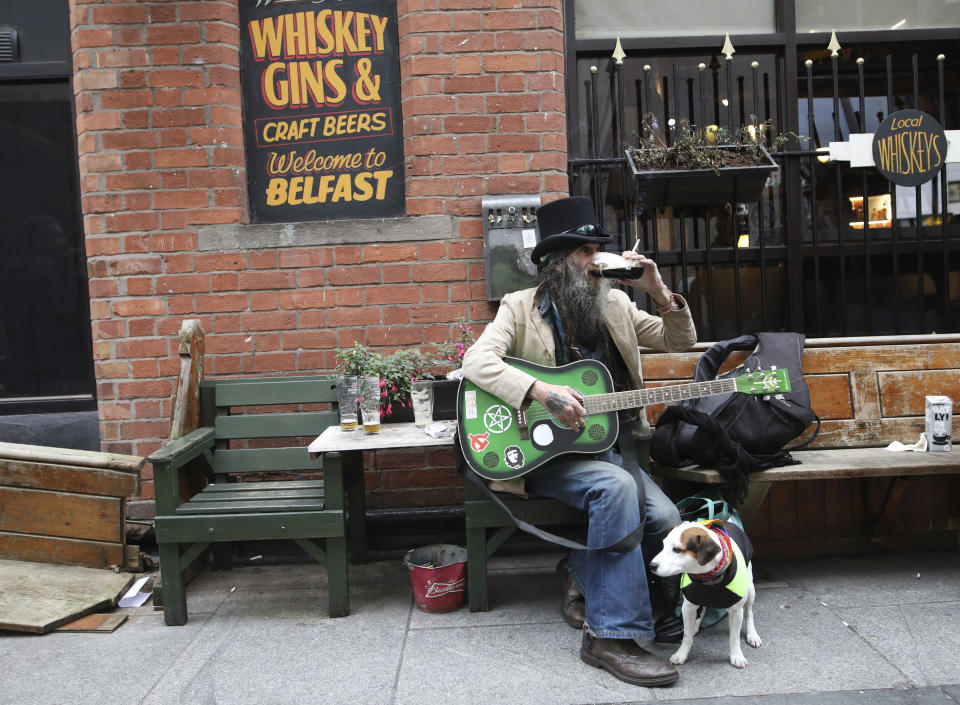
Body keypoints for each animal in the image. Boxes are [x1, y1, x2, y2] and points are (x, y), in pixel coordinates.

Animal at [648, 520, 760, 668]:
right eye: (663, 545)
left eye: (676, 549)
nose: (652, 565)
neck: (708, 577)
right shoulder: (688, 606)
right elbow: (687, 636)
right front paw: (681, 654)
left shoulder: (736, 611)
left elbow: (734, 638)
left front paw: (736, 656)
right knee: (701, 610)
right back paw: (695, 626)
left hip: (750, 590)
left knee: (749, 613)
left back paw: (752, 634)